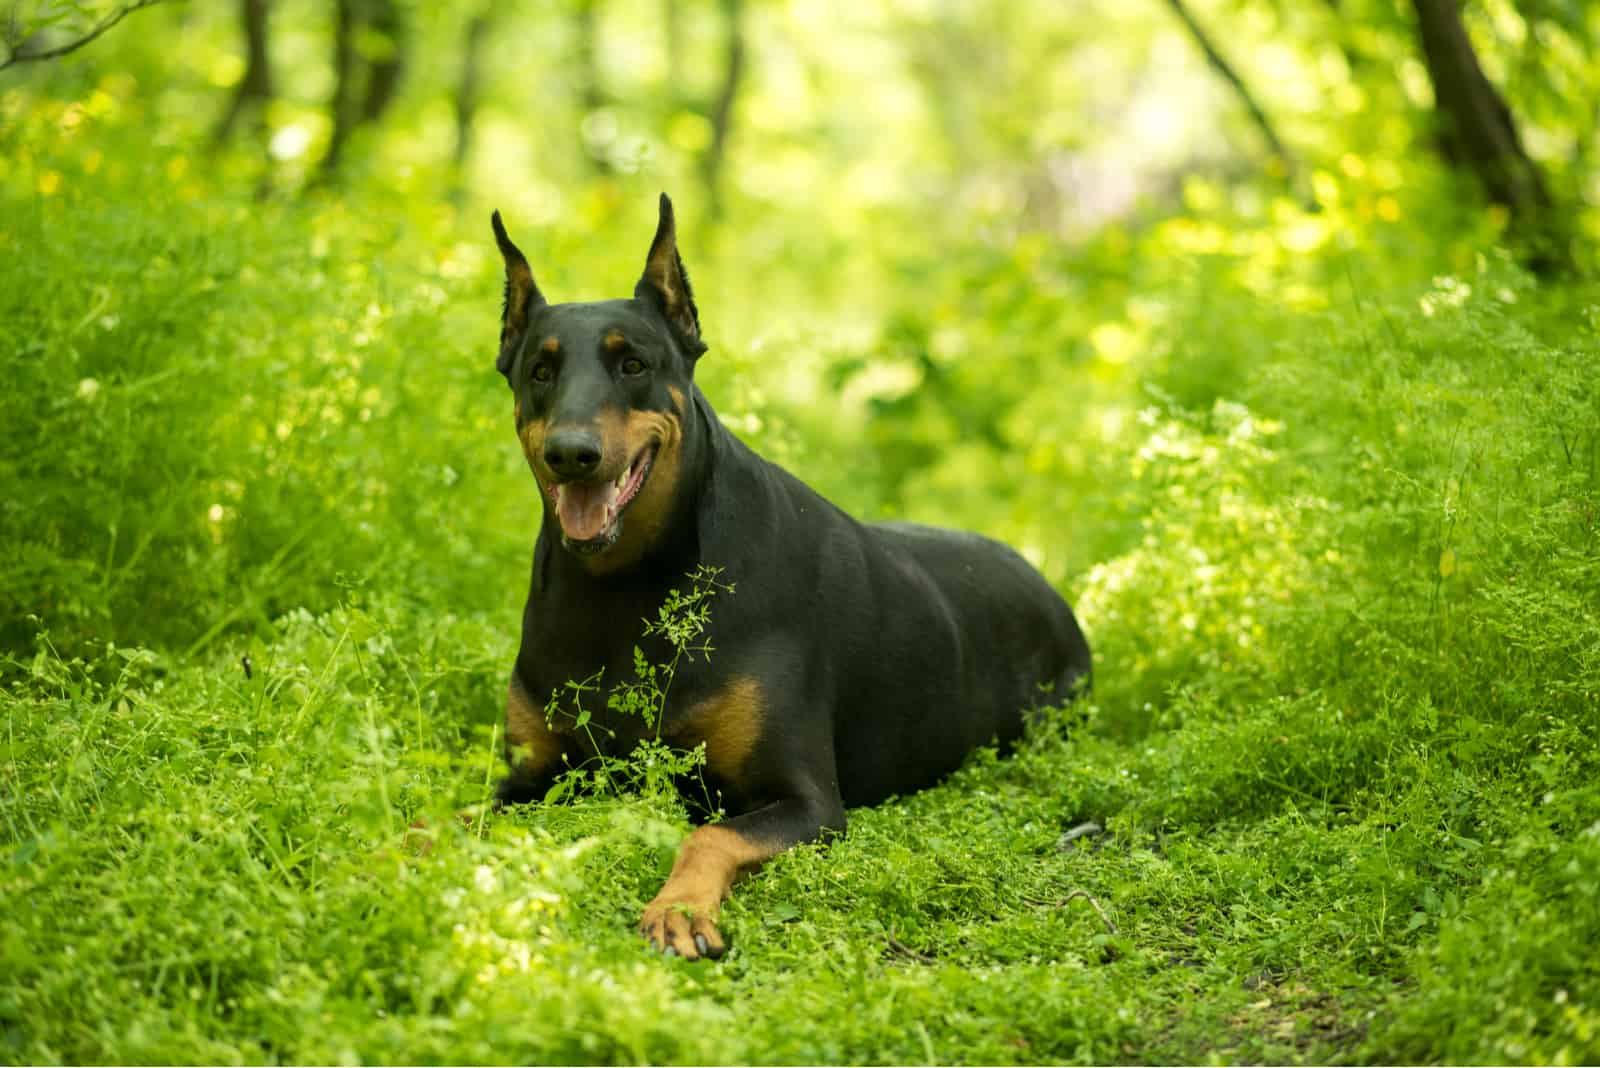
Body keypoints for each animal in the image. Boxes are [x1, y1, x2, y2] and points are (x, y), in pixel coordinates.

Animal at [486, 195, 1088, 965]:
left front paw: (677, 908)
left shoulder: (808, 801)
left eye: (633, 364)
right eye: (540, 370)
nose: (572, 453)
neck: (624, 586)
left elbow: (709, 834)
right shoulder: (533, 774)